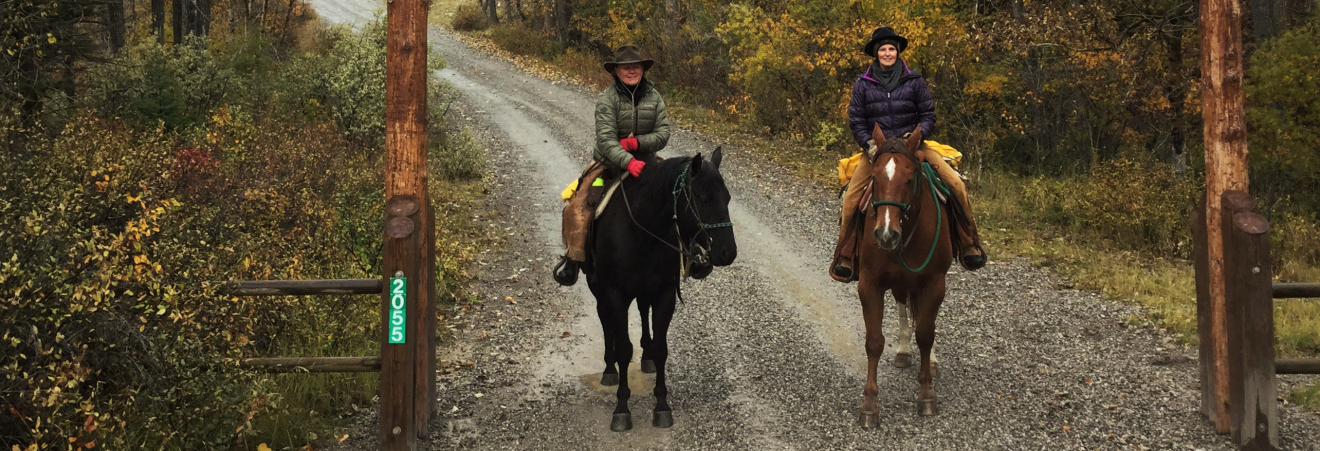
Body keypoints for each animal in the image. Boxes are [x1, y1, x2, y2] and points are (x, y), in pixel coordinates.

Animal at [583, 147, 739, 429]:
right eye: (703, 197)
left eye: (728, 198)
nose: (727, 252)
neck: (641, 230)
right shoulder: (615, 294)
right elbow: (624, 349)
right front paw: (621, 408)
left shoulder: (664, 294)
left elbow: (661, 349)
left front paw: (662, 405)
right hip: (597, 286)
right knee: (604, 319)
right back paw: (609, 369)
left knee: (643, 311)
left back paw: (645, 358)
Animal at [850, 123, 955, 427]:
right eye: (874, 178)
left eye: (909, 180)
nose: (886, 235)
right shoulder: (870, 283)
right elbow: (874, 342)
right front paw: (869, 405)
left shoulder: (935, 283)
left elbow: (926, 334)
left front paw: (927, 394)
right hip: (898, 281)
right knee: (902, 305)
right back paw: (903, 351)